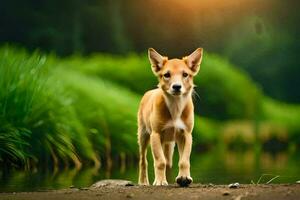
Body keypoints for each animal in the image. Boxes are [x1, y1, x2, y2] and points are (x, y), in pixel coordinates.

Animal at [137, 47, 203, 187]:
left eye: (185, 74)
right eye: (166, 75)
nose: (177, 87)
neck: (175, 107)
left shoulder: (186, 135)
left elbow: (184, 160)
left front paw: (184, 177)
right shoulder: (155, 135)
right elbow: (159, 161)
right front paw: (160, 181)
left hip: (168, 143)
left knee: (168, 161)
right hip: (143, 135)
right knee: (143, 160)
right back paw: (143, 181)